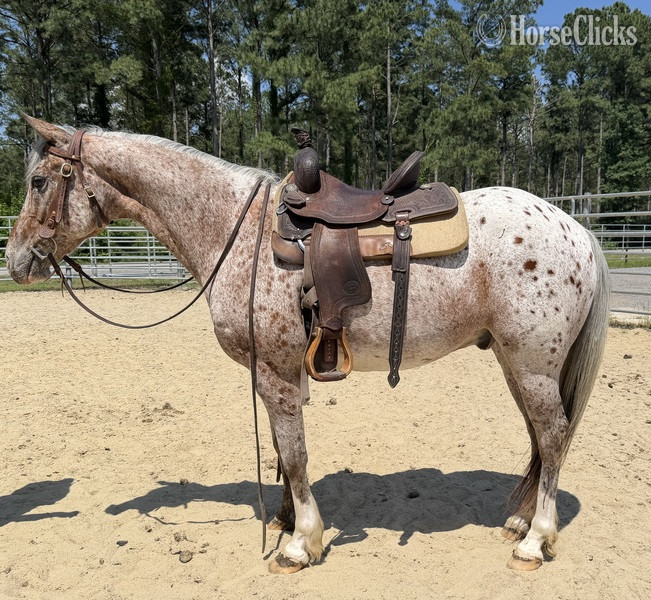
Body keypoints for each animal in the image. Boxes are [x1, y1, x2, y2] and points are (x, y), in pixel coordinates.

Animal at [6, 116, 610, 573]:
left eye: (39, 181)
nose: (16, 262)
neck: (235, 231)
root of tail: (576, 228)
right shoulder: (280, 371)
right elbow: (281, 448)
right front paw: (286, 520)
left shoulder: (273, 369)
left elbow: (294, 454)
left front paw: (301, 544)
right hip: (518, 364)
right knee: (539, 437)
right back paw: (519, 520)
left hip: (531, 365)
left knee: (553, 435)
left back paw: (535, 540)